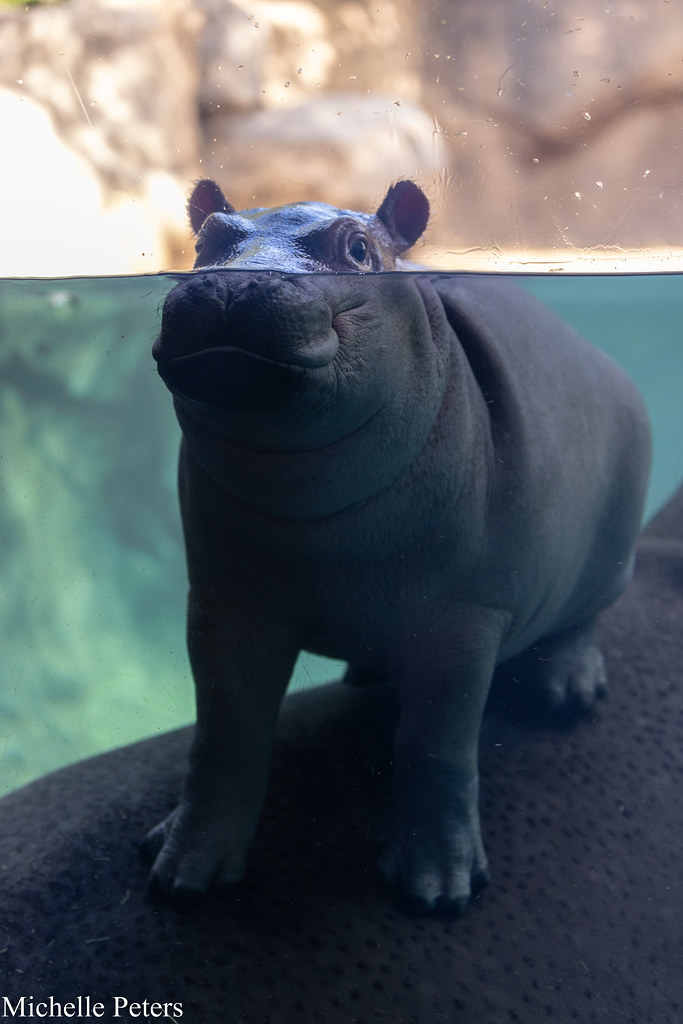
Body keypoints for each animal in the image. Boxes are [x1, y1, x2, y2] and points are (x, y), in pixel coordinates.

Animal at [145, 178, 651, 914]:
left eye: (358, 248)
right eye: (206, 240)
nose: (232, 284)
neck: (313, 506)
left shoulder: (463, 618)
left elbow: (433, 744)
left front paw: (437, 892)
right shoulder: (225, 600)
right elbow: (224, 730)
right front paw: (180, 871)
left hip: (610, 555)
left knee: (583, 618)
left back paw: (569, 693)